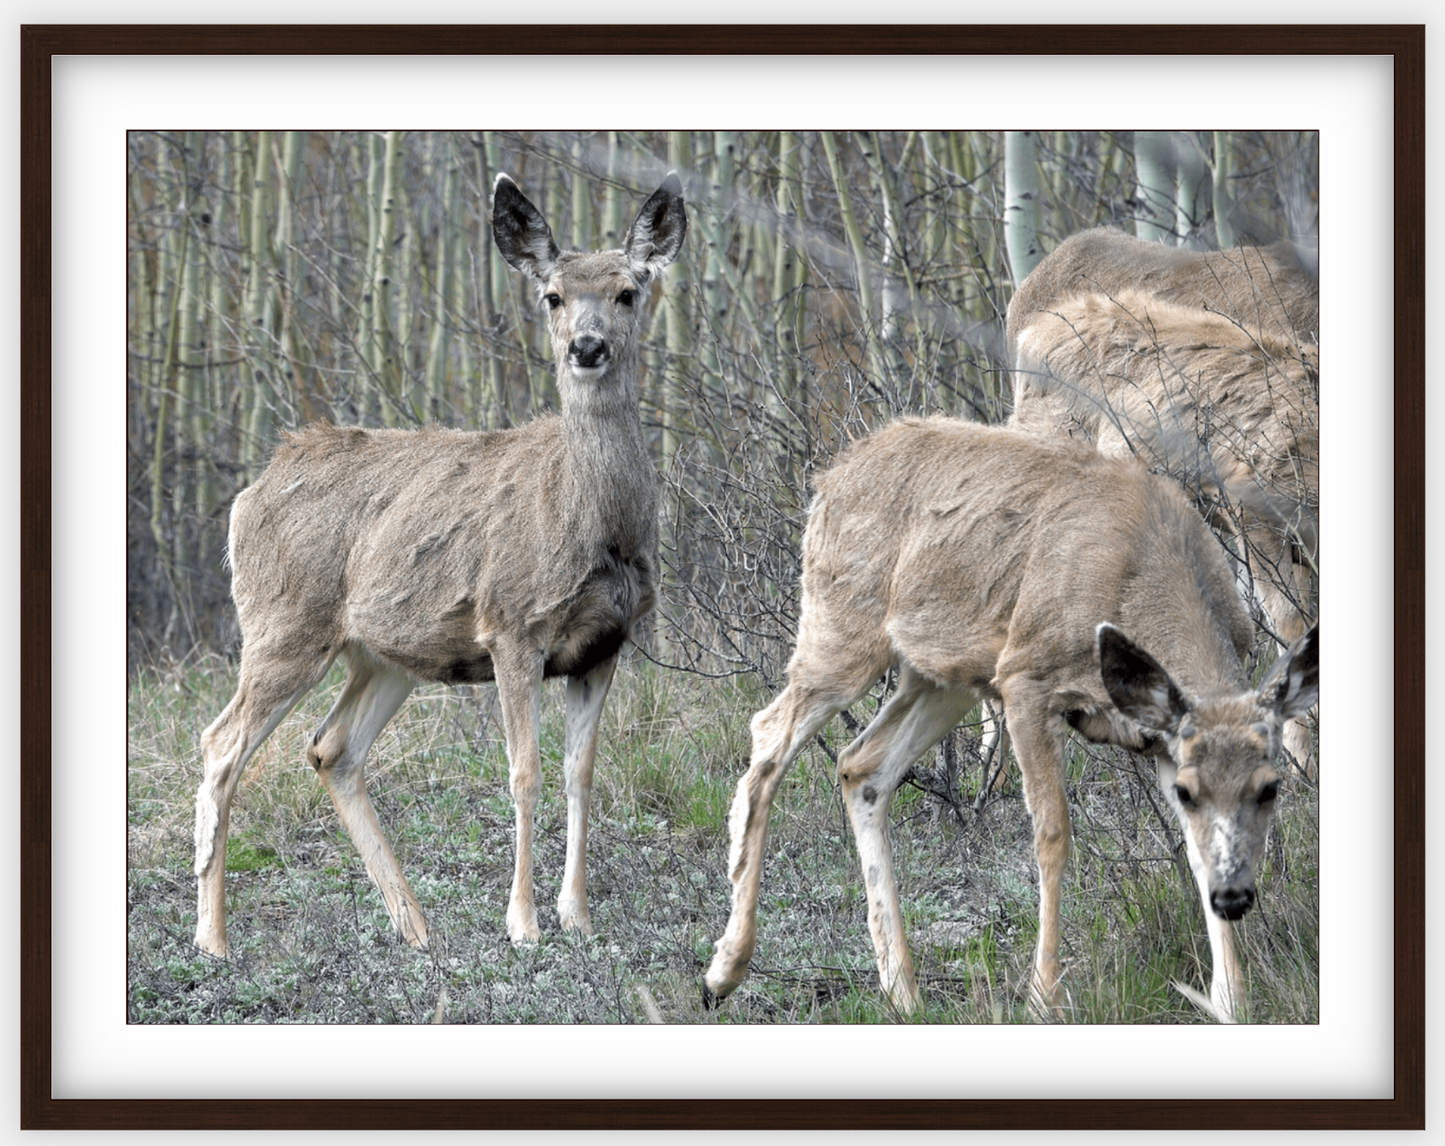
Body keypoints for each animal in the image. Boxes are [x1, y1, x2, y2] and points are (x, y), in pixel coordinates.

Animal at [193, 169, 687, 959]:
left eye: (626, 292)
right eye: (552, 295)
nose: (586, 347)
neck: (592, 525)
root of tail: (247, 498)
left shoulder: (607, 642)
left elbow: (581, 773)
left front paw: (577, 915)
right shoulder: (513, 626)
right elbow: (524, 773)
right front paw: (523, 925)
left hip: (383, 653)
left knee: (331, 749)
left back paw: (416, 927)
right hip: (283, 624)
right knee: (222, 743)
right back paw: (213, 937)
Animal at [702, 419, 1323, 1017]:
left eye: (1270, 787)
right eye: (1193, 791)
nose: (1236, 899)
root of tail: (829, 478)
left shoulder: (1158, 735)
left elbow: (1195, 852)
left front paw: (1230, 999)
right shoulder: (1027, 679)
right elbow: (1052, 835)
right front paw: (1043, 998)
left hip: (942, 673)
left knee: (862, 765)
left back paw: (902, 992)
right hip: (842, 629)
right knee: (769, 737)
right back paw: (724, 970)